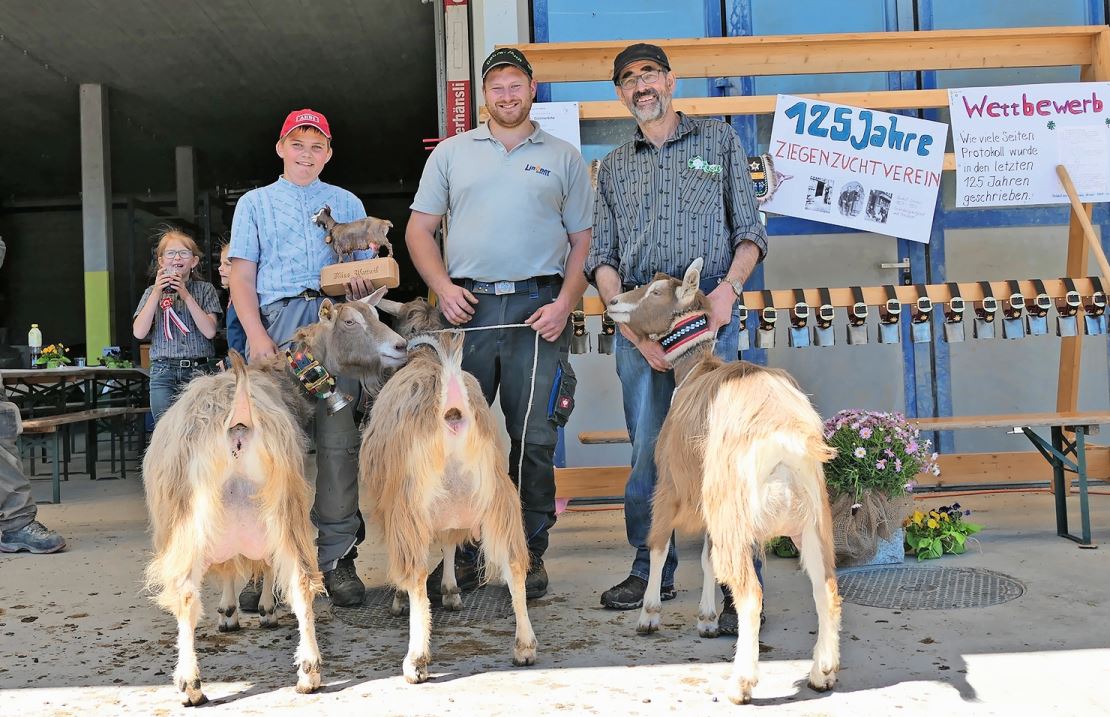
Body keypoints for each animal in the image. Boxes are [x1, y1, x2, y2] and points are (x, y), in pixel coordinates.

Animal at [143, 293, 408, 705]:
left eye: (377, 315)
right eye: (350, 322)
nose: (400, 346)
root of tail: (237, 411)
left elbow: (240, 563)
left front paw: (239, 611)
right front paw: (247, 610)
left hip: (214, 511)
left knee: (192, 590)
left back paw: (197, 683)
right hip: (275, 502)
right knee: (292, 579)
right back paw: (304, 672)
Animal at [359, 297, 537, 683]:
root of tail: (452, 404)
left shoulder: (392, 507)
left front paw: (400, 602)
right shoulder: (452, 509)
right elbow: (451, 542)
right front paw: (453, 592)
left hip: (411, 503)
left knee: (416, 571)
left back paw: (416, 660)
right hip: (498, 496)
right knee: (515, 562)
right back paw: (525, 646)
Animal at [608, 259, 839, 705]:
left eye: (655, 292)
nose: (612, 301)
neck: (696, 371)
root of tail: (784, 439)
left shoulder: (671, 484)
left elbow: (659, 544)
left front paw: (649, 615)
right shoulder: (709, 497)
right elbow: (707, 557)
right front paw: (707, 618)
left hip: (736, 509)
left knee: (751, 595)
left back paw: (740, 684)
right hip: (809, 518)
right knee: (827, 588)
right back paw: (822, 672)